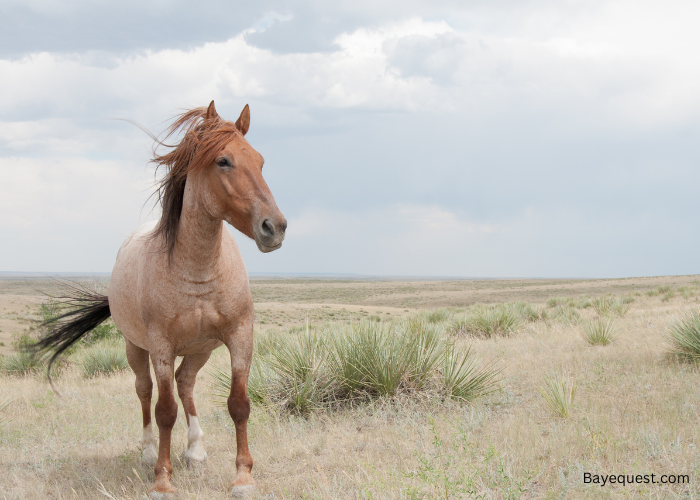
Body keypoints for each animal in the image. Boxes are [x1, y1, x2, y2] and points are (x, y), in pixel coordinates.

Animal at [30, 100, 288, 496]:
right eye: (223, 161)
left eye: (260, 161)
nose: (274, 227)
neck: (197, 268)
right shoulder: (161, 345)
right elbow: (164, 411)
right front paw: (162, 480)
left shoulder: (240, 335)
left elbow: (238, 403)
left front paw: (243, 477)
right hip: (136, 348)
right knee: (146, 392)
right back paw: (149, 452)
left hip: (200, 349)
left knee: (186, 383)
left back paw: (195, 451)